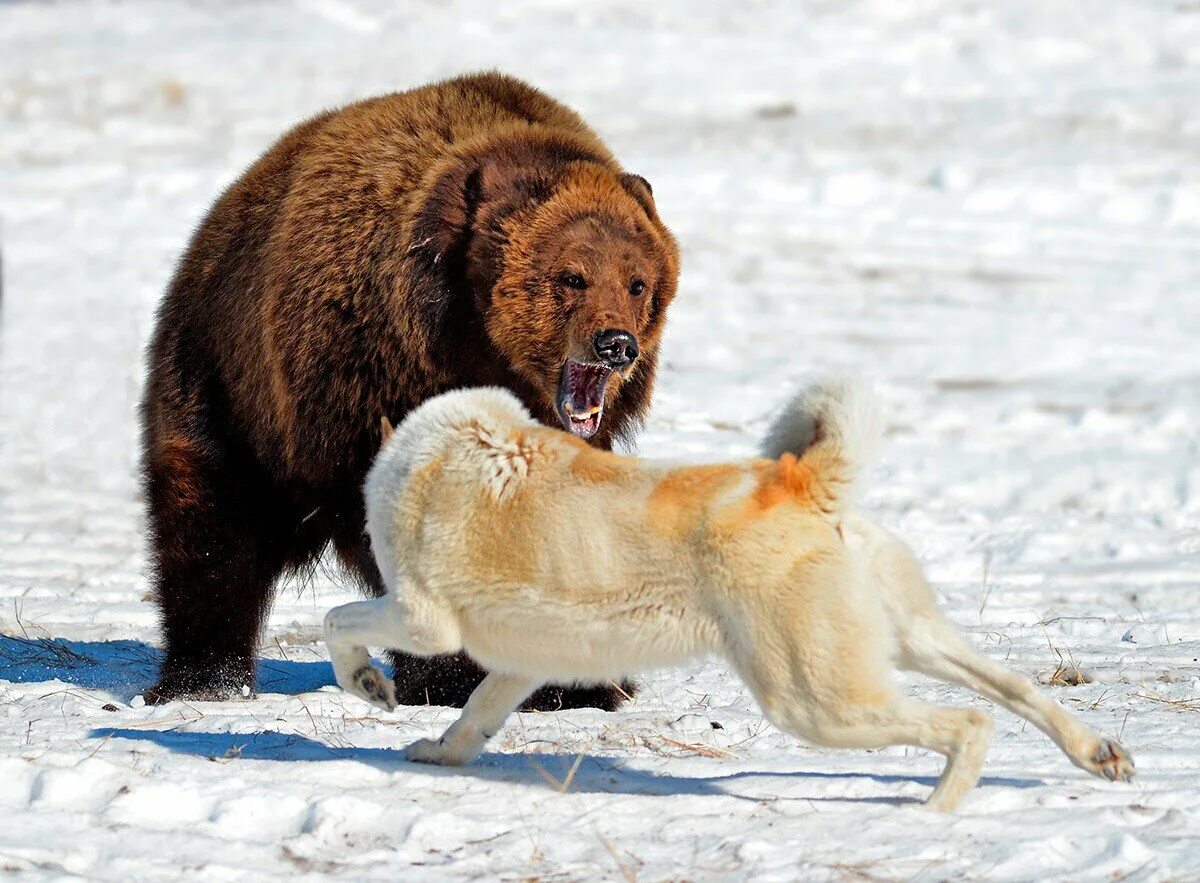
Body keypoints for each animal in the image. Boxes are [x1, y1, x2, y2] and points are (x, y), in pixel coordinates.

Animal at [140, 74, 681, 710]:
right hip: (229, 383)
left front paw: (579, 681)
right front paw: (455, 672)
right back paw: (203, 677)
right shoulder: (370, 382)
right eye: (571, 276)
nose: (616, 343)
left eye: (637, 281)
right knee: (211, 523)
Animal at [326, 383, 1132, 811]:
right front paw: (439, 754)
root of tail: (800, 482)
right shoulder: (525, 663)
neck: (423, 458)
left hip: (812, 698)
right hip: (904, 643)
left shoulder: (423, 620)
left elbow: (336, 624)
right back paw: (1098, 755)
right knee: (1014, 689)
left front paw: (368, 685)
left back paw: (935, 811)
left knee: (969, 721)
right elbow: (474, 718)